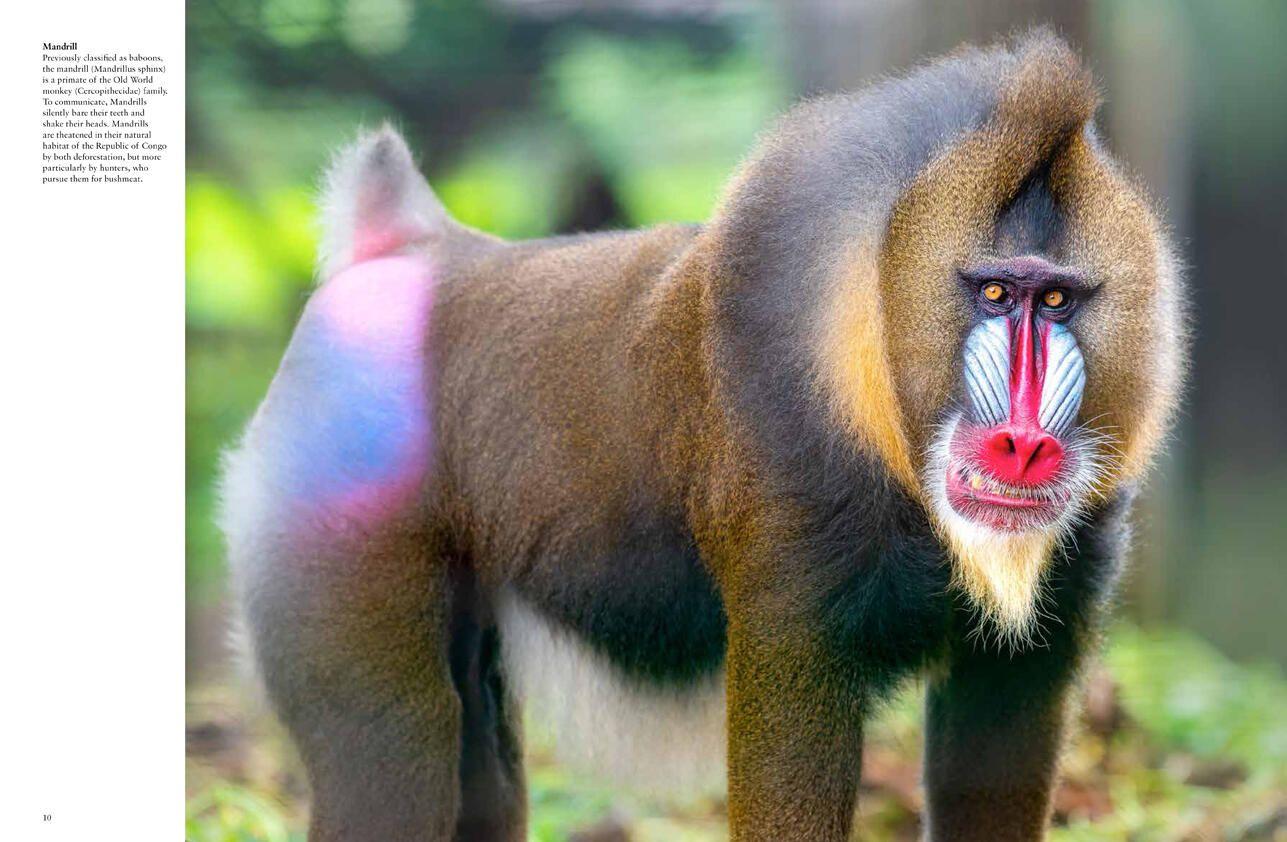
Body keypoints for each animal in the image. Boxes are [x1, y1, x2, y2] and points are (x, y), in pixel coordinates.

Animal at [220, 29, 1186, 842]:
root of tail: (400, 249)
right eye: (991, 293)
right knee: (395, 743)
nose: (1022, 444)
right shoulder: (792, 602)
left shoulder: (1041, 633)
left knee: (479, 769)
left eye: (1053, 300)